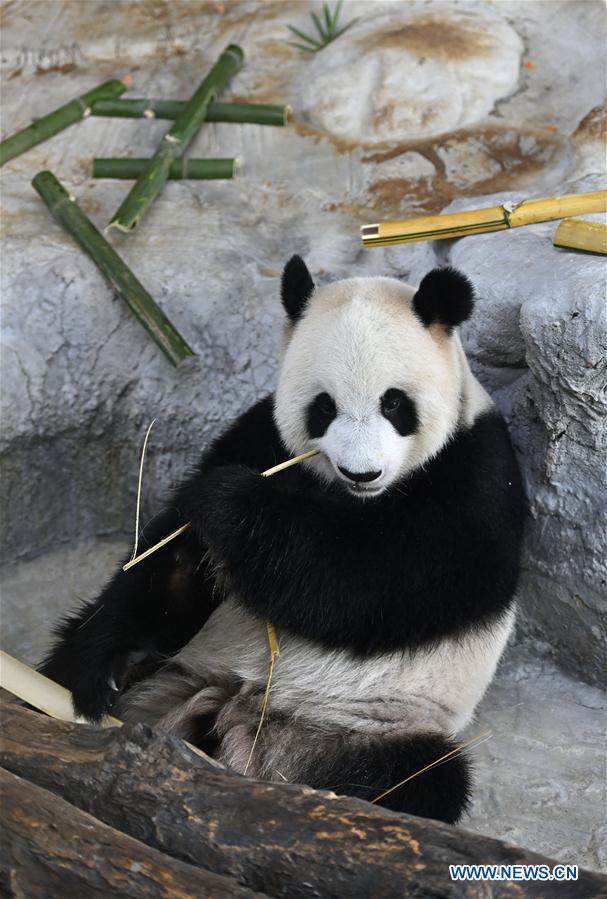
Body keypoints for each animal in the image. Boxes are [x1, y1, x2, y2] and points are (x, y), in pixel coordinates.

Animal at [42, 257, 525, 825]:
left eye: (394, 403)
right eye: (324, 407)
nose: (362, 472)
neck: (350, 497)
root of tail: (232, 713)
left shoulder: (474, 475)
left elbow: (368, 580)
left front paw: (229, 502)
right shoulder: (260, 434)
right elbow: (170, 565)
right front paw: (103, 670)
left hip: (366, 723)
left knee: (419, 779)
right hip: (181, 670)